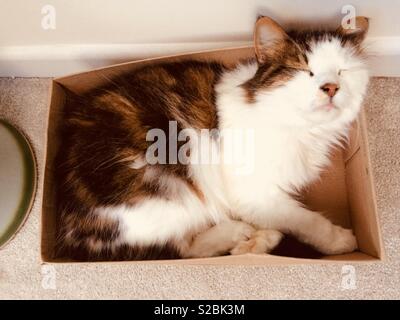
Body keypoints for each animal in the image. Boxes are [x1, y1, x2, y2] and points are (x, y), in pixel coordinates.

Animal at [54, 16, 370, 260]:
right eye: (305, 71)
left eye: (342, 70)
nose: (330, 87)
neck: (304, 129)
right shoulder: (256, 194)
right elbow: (308, 220)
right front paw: (340, 239)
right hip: (171, 192)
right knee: (182, 249)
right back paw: (242, 233)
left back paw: (253, 239)